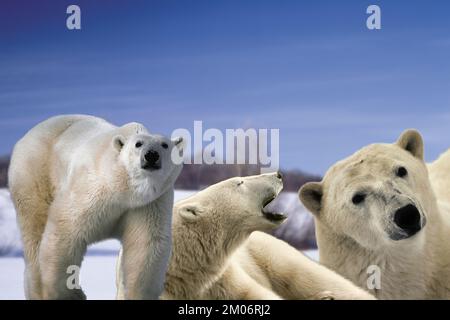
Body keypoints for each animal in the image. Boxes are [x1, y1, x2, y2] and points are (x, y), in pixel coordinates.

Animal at [7, 115, 183, 300]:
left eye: (164, 145)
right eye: (138, 144)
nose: (151, 155)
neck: (124, 188)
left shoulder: (148, 203)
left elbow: (145, 244)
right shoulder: (92, 188)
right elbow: (65, 229)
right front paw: (71, 294)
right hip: (33, 174)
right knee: (34, 228)